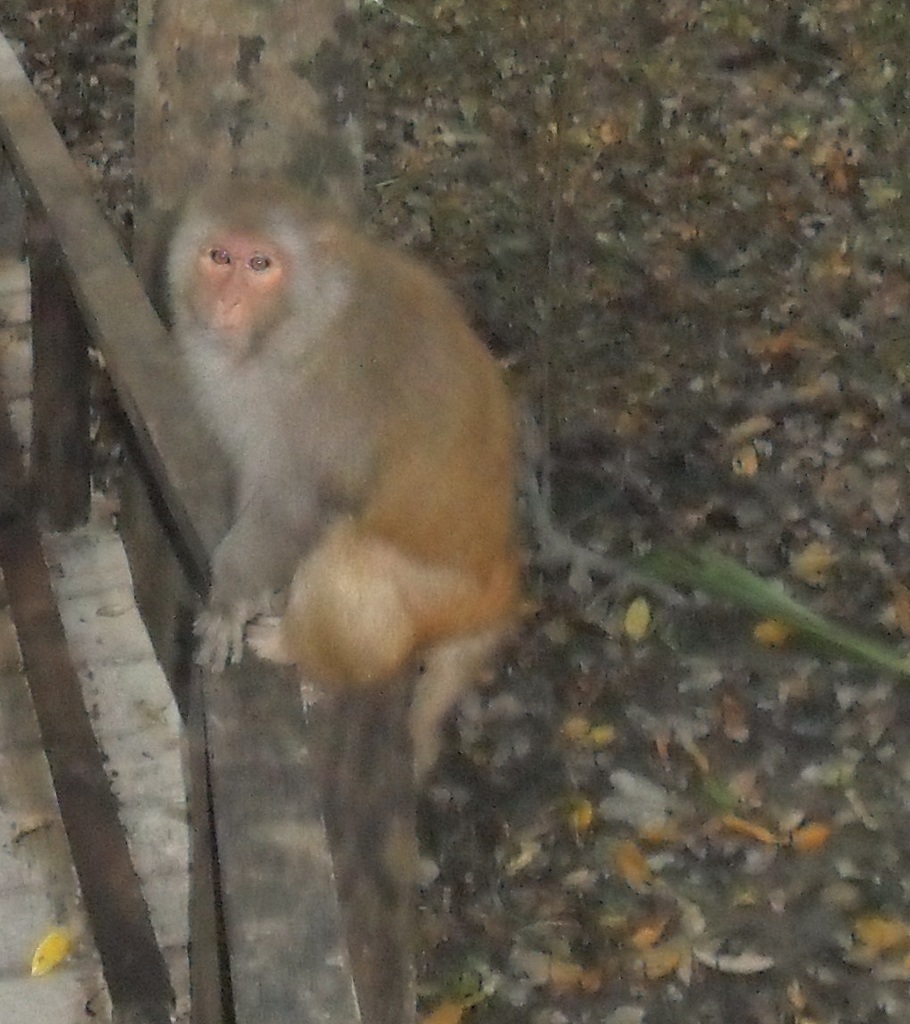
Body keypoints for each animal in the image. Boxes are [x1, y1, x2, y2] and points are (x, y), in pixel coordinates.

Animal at [167, 177, 520, 777]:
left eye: (260, 263)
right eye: (219, 257)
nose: (225, 302)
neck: (305, 323)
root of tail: (500, 574)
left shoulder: (323, 405)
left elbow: (293, 506)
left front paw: (230, 595)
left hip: (441, 599)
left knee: (355, 559)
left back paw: (295, 645)